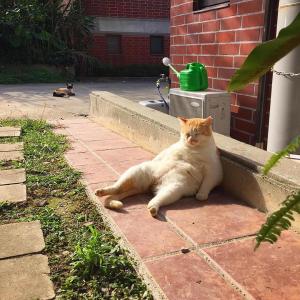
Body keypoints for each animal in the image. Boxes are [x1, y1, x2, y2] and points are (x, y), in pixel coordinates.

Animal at [95, 116, 223, 217]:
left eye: (196, 133)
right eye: (187, 134)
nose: (190, 139)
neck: (194, 150)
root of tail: (150, 185)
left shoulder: (213, 171)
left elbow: (206, 184)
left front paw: (201, 195)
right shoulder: (168, 150)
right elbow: (161, 155)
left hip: (173, 189)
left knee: (154, 200)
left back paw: (152, 208)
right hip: (136, 172)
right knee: (116, 187)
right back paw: (101, 191)